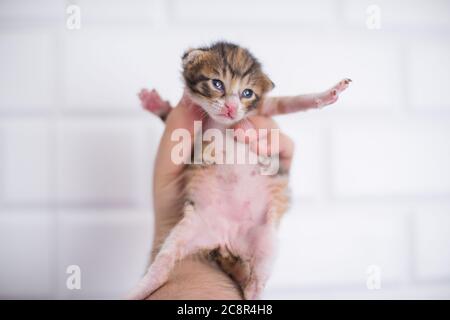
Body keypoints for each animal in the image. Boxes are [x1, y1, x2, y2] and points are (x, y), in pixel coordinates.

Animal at [127, 41, 352, 298]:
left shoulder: (262, 108)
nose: (231, 109)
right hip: (187, 230)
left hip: (266, 239)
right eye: (217, 83)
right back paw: (138, 290)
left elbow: (292, 102)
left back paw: (253, 290)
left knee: (257, 279)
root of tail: (226, 241)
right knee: (163, 265)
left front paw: (328, 94)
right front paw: (157, 104)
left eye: (247, 93)